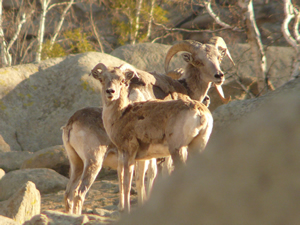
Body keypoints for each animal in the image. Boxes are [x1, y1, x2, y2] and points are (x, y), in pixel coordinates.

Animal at [91, 62, 213, 213]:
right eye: (102, 79)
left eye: (122, 80)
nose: (110, 92)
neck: (120, 114)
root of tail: (200, 113)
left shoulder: (129, 152)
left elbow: (127, 182)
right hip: (197, 145)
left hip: (178, 150)